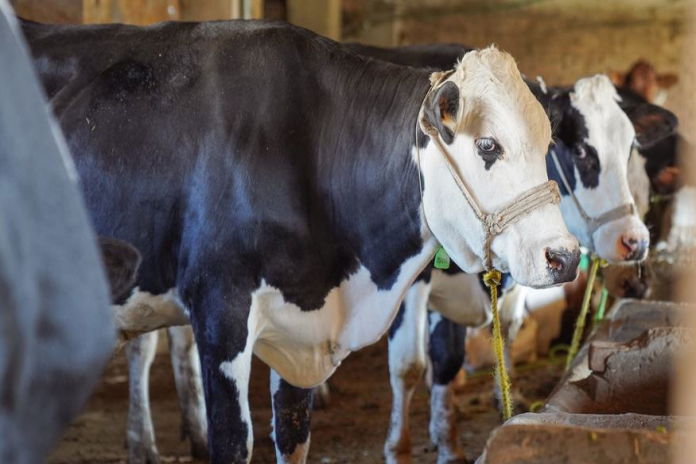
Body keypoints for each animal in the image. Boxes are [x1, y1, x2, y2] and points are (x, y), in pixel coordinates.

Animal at [20, 19, 579, 464]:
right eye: (488, 145)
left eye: (548, 145)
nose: (565, 256)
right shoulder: (219, 310)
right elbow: (235, 441)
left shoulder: (300, 330)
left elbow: (293, 436)